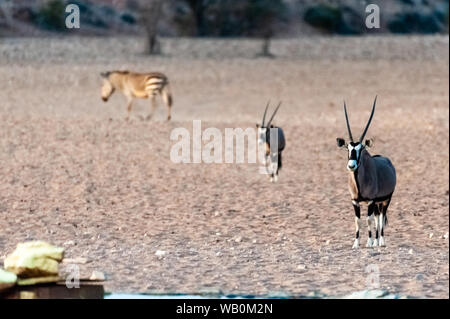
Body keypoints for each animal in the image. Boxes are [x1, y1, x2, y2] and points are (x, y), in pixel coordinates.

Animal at [336, 97, 396, 250]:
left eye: (361, 149)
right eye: (348, 148)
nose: (351, 165)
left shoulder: (370, 200)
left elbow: (368, 220)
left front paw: (369, 242)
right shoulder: (355, 201)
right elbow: (358, 221)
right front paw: (356, 243)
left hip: (386, 200)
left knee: (381, 217)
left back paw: (381, 241)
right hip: (377, 203)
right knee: (377, 217)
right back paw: (376, 241)